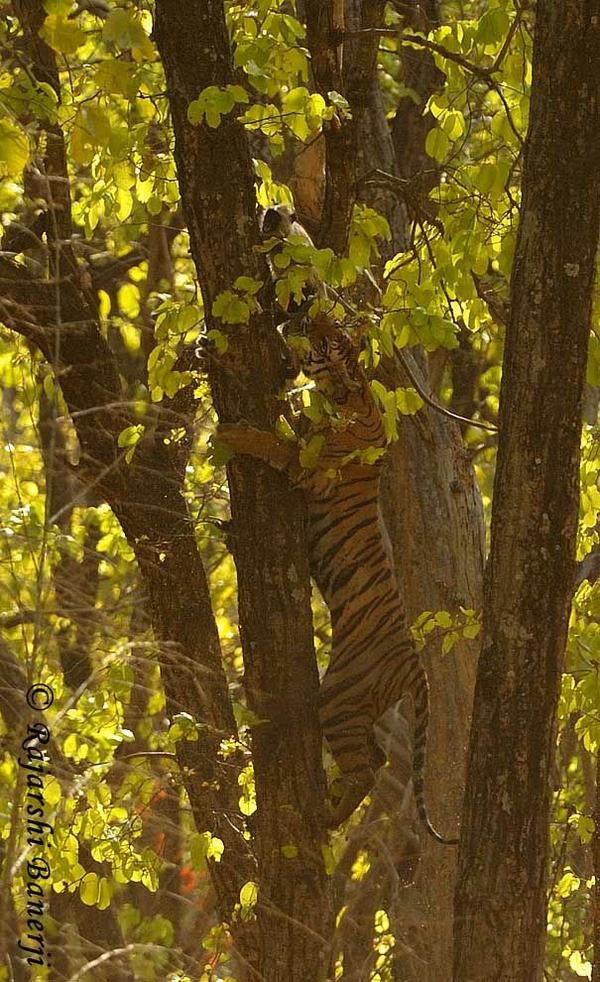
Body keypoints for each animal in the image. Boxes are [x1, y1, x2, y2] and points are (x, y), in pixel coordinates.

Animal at [218, 316, 458, 844]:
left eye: (327, 340)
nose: (301, 316)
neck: (351, 393)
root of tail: (417, 668)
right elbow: (291, 421)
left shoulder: (310, 468)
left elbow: (276, 442)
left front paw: (237, 432)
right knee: (377, 759)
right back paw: (329, 808)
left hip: (340, 699)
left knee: (369, 767)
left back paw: (323, 817)